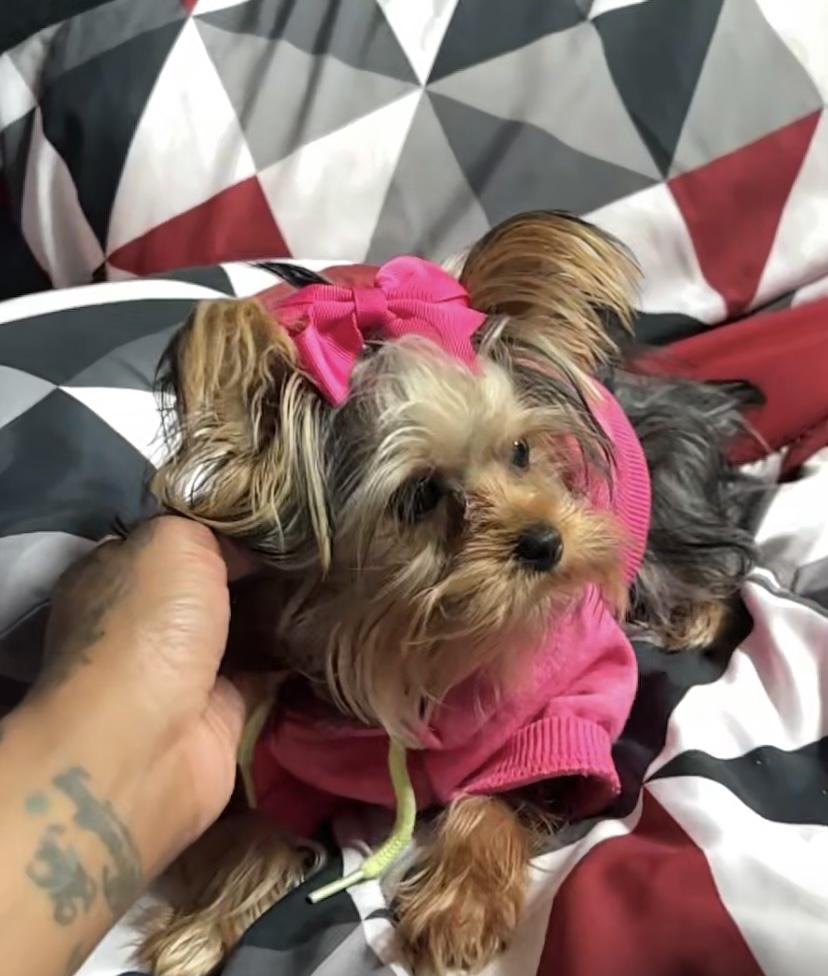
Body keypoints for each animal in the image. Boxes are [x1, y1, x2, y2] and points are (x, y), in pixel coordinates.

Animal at [138, 211, 757, 975]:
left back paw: (691, 618)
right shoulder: (287, 754)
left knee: (721, 564)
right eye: (421, 495)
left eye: (521, 452)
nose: (546, 541)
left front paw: (460, 904)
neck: (421, 645)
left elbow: (497, 796)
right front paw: (203, 922)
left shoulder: (563, 709)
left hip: (669, 517)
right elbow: (261, 829)